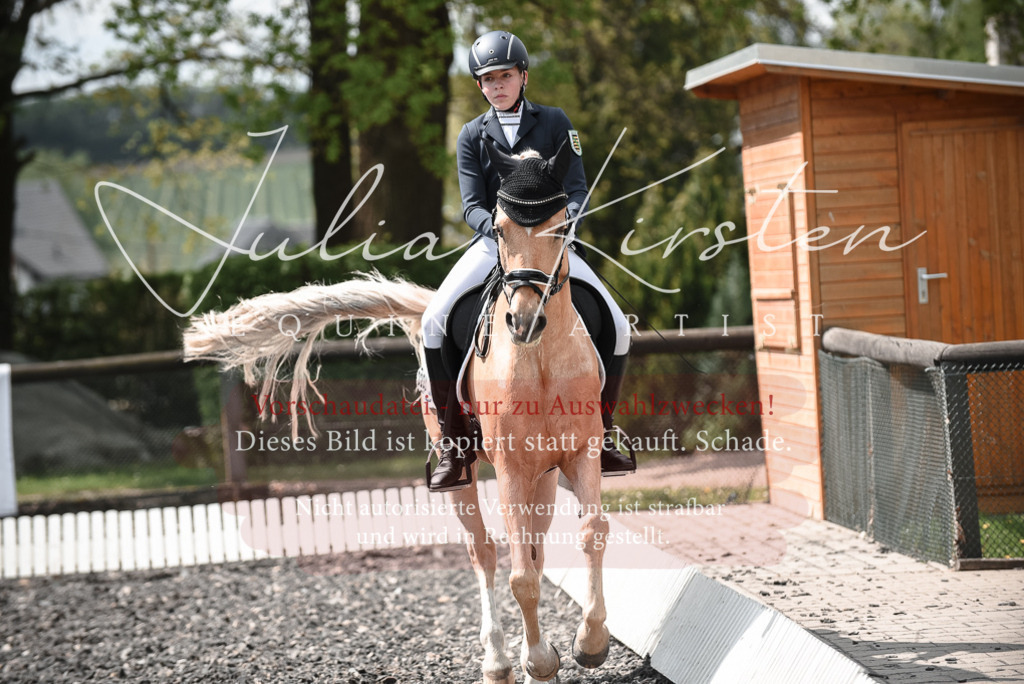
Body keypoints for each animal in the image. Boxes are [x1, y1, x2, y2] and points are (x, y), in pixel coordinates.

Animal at [182, 141, 611, 684]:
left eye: (561, 227)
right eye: (497, 229)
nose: (524, 321)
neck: (539, 359)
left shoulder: (581, 453)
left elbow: (591, 535)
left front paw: (589, 643)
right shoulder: (512, 467)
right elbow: (521, 577)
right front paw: (537, 657)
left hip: (546, 475)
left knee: (533, 545)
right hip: (468, 470)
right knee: (485, 551)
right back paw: (498, 659)